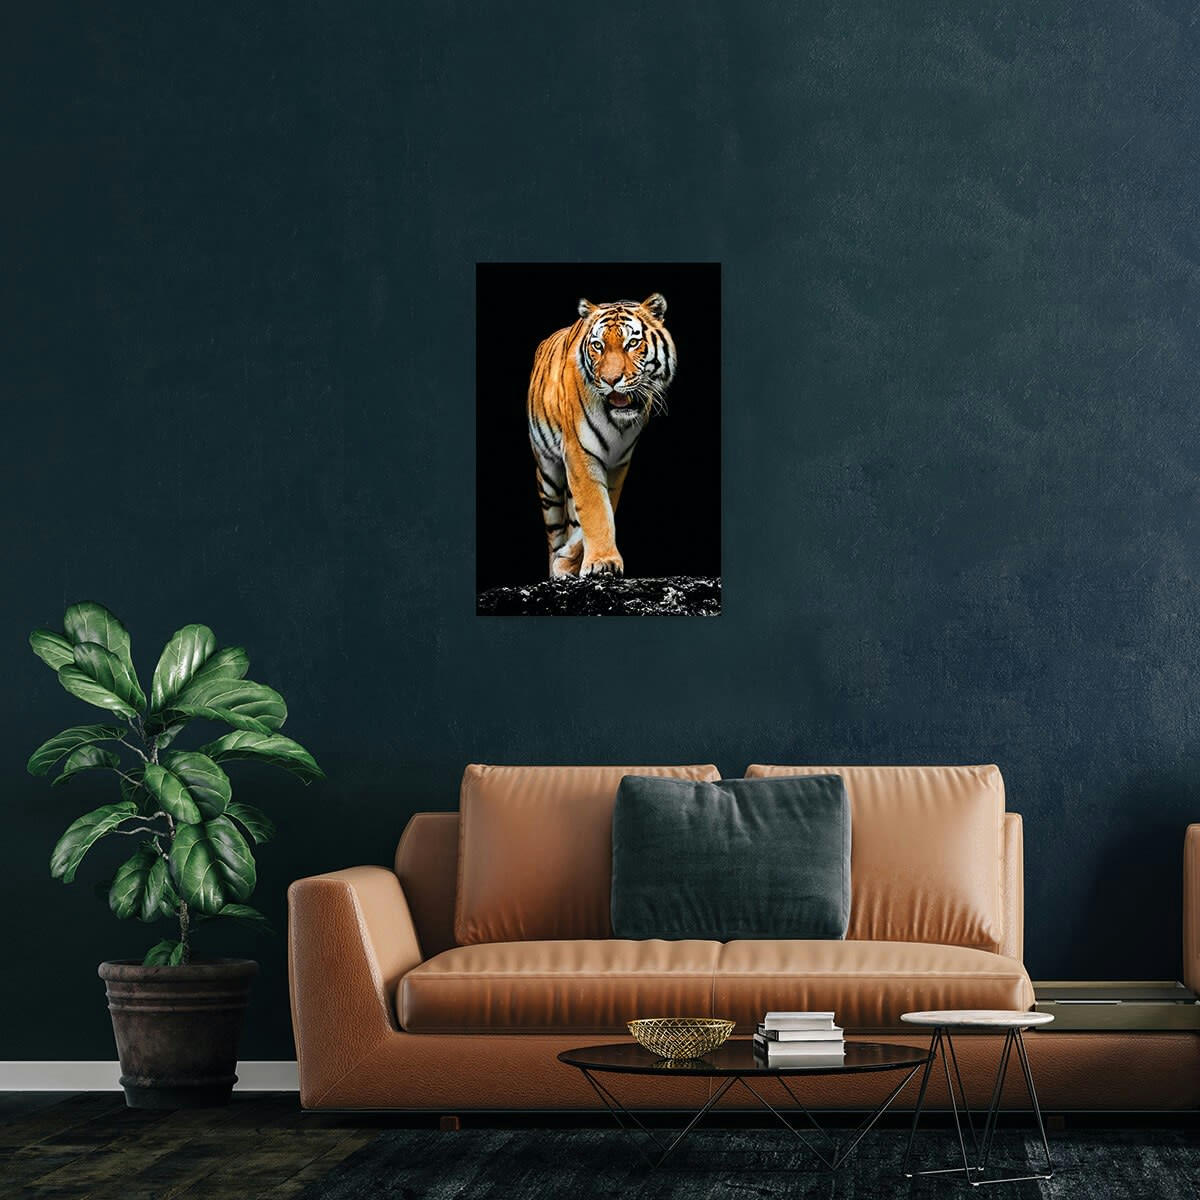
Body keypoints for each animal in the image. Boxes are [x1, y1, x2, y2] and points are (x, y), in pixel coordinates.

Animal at [526, 293, 676, 578]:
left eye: (632, 343)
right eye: (598, 345)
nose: (611, 380)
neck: (618, 423)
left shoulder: (619, 462)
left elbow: (603, 508)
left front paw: (576, 560)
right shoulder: (579, 452)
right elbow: (596, 508)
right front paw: (601, 562)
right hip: (548, 476)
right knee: (554, 530)